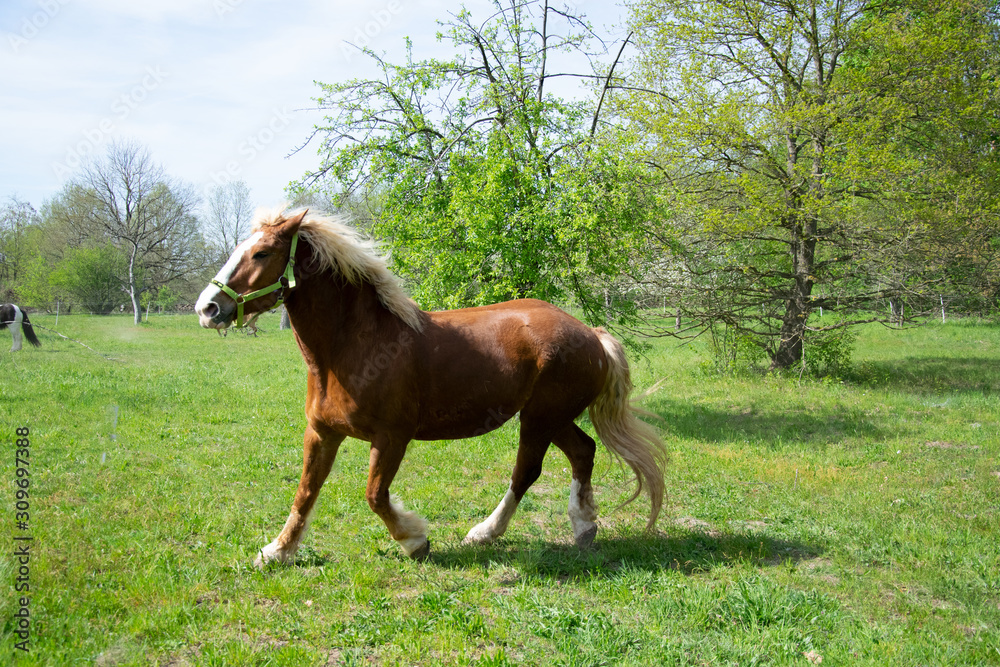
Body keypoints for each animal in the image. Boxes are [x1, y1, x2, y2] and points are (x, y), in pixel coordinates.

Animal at [194, 206, 667, 566]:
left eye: (261, 253)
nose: (207, 308)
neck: (352, 349)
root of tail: (591, 333)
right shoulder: (322, 432)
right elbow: (305, 492)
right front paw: (277, 551)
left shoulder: (392, 437)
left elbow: (375, 495)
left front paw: (415, 540)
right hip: (552, 416)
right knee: (582, 452)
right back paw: (583, 527)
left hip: (540, 417)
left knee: (527, 471)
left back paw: (485, 532)